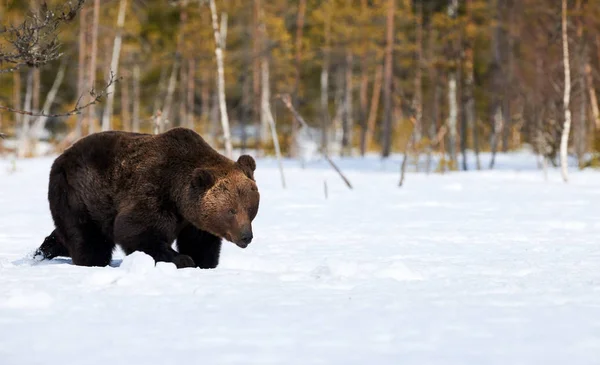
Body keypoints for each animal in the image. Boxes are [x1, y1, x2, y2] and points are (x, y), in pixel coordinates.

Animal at [32, 126, 258, 268]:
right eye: (231, 210)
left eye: (250, 209)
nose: (246, 236)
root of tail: (61, 156)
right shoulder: (154, 191)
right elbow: (137, 230)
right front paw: (181, 259)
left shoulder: (194, 219)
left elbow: (200, 242)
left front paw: (203, 262)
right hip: (79, 194)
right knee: (87, 237)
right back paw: (90, 260)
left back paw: (43, 250)